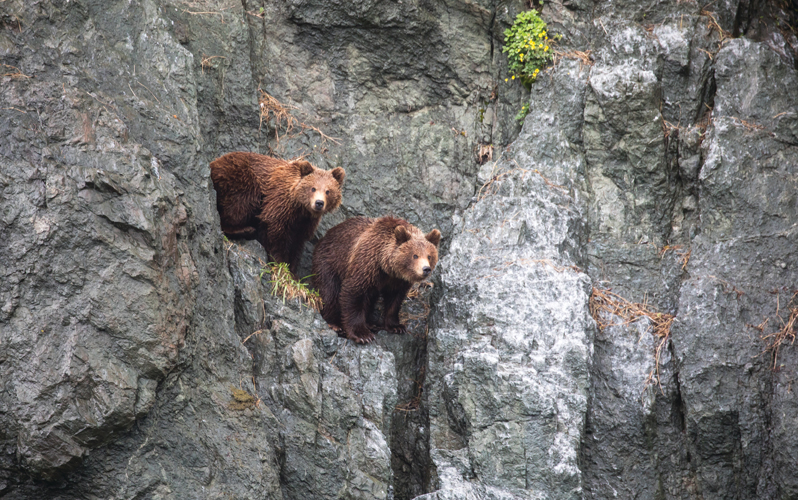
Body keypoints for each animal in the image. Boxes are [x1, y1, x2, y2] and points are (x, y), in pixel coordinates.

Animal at [209, 151, 344, 274]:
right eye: (313, 188)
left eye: (328, 191)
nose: (319, 203)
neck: (300, 208)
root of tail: (214, 163)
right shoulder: (279, 204)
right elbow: (276, 233)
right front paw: (280, 263)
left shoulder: (305, 222)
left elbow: (297, 243)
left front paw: (292, 270)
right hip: (239, 178)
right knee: (240, 204)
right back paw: (244, 229)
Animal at [310, 217, 440, 346]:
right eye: (415, 255)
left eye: (429, 256)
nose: (426, 269)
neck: (387, 267)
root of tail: (325, 236)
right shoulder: (367, 264)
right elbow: (353, 293)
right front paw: (362, 335)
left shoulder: (397, 281)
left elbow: (395, 299)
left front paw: (396, 326)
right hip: (330, 262)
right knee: (330, 291)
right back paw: (335, 324)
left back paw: (370, 323)